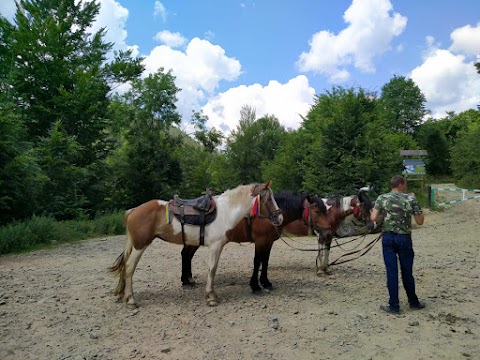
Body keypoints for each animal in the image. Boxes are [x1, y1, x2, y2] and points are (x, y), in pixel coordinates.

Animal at [109, 180, 284, 306]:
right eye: (269, 198)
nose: (280, 218)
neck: (225, 212)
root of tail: (133, 210)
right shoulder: (215, 247)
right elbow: (212, 269)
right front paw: (211, 297)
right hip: (140, 246)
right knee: (129, 268)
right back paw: (131, 300)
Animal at [180, 191, 330, 292]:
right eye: (317, 210)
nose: (327, 232)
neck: (267, 216)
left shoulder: (268, 242)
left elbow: (265, 261)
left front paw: (265, 282)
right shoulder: (260, 241)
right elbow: (257, 261)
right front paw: (255, 285)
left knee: (186, 255)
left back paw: (187, 280)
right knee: (186, 255)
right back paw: (187, 279)